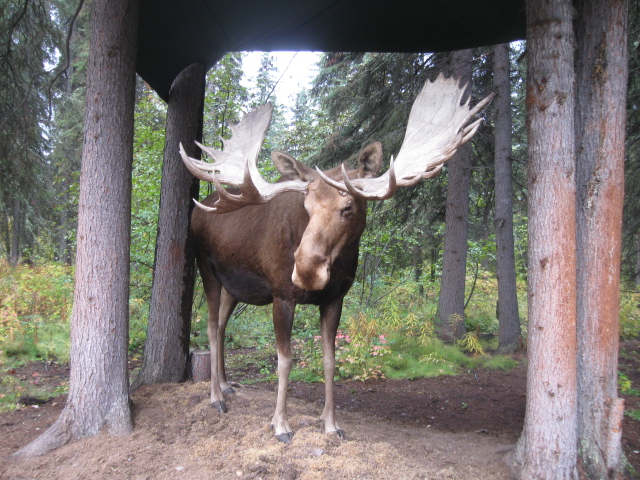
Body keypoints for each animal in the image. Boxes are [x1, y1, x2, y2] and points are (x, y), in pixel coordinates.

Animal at [179, 74, 493, 443]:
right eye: (306, 206)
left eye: (348, 207)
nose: (307, 270)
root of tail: (199, 210)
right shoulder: (282, 295)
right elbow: (284, 360)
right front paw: (281, 424)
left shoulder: (335, 299)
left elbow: (330, 361)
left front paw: (331, 423)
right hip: (207, 270)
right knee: (211, 328)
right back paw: (215, 397)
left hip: (234, 285)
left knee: (222, 325)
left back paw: (227, 385)